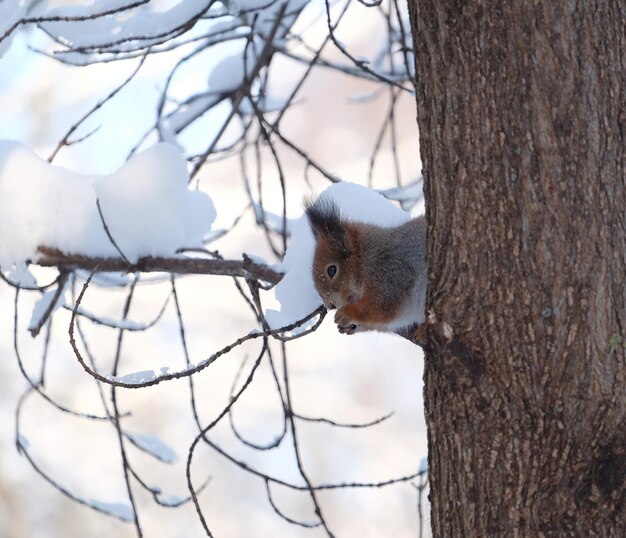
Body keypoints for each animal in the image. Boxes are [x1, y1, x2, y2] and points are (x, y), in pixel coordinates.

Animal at [302, 195, 424, 332]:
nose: (330, 305)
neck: (364, 259)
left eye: (332, 270)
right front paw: (354, 327)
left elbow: (380, 306)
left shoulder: (391, 274)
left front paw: (347, 313)